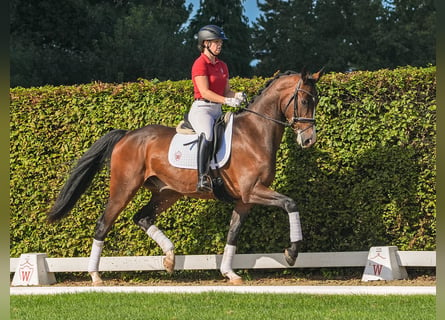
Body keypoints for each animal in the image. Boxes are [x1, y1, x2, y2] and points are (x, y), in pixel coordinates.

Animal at [47, 68, 322, 284]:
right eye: (304, 100)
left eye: (317, 101)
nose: (309, 140)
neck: (254, 133)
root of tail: (127, 135)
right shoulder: (252, 190)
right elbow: (290, 203)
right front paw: (292, 253)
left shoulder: (245, 199)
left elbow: (233, 233)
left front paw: (229, 273)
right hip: (124, 188)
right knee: (103, 224)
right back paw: (95, 275)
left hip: (167, 193)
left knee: (142, 217)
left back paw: (169, 259)